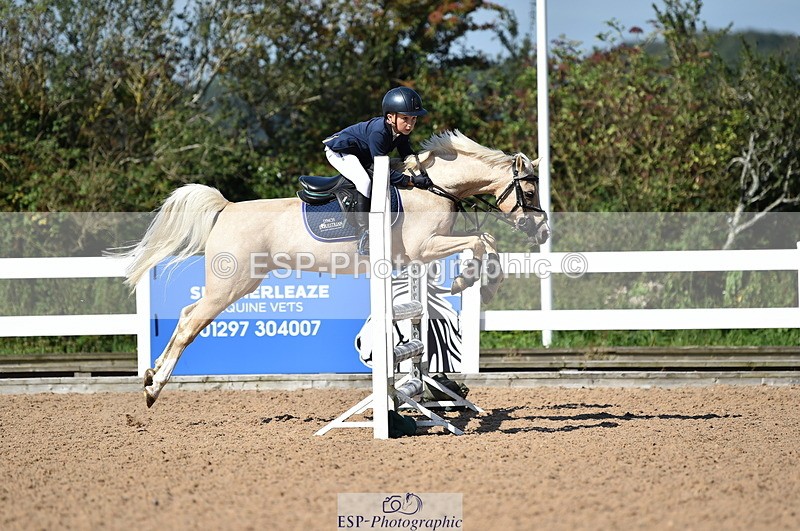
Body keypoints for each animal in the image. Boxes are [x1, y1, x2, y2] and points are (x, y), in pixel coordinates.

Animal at [119, 130, 549, 407]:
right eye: (529, 190)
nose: (542, 230)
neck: (431, 187)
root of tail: (226, 208)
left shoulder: (426, 251)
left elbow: (485, 241)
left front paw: (480, 279)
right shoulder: (425, 246)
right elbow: (479, 242)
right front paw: (469, 280)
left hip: (235, 284)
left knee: (186, 314)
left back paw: (150, 377)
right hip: (231, 285)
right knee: (190, 323)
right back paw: (153, 389)